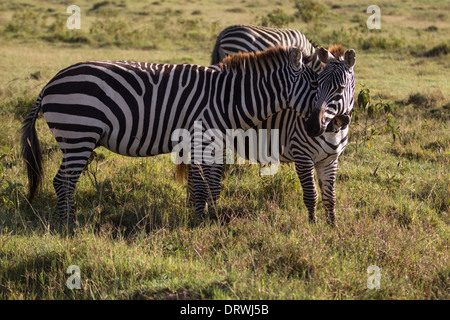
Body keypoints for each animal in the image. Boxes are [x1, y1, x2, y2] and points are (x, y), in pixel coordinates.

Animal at [22, 45, 326, 225]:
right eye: (315, 85)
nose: (317, 129)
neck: (228, 98)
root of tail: (50, 83)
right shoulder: (201, 138)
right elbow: (203, 185)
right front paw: (201, 221)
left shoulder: (209, 142)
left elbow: (209, 185)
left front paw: (209, 216)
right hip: (78, 133)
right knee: (63, 181)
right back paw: (69, 225)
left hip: (77, 137)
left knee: (63, 181)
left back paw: (69, 221)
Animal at [179, 25, 356, 225]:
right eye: (317, 85)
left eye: (341, 88)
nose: (312, 127)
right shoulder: (302, 156)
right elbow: (312, 195)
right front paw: (313, 226)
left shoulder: (330, 160)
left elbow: (330, 197)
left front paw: (332, 227)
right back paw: (195, 206)